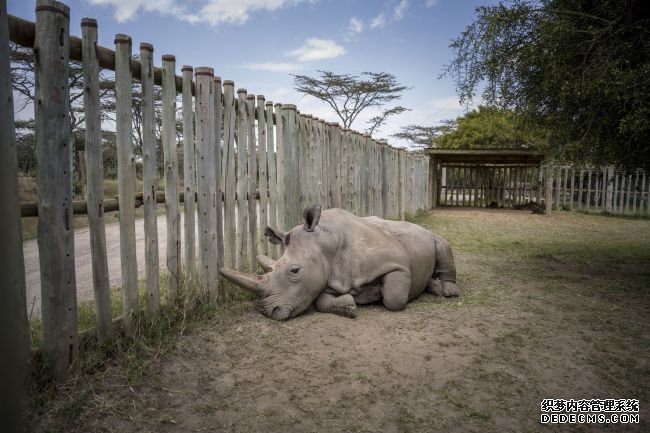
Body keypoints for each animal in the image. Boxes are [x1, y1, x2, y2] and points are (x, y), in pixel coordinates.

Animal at [220, 206, 458, 320]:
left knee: (442, 243)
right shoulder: (330, 276)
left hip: (427, 234)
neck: (326, 243)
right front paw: (349, 306)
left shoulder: (396, 263)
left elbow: (394, 299)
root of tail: (417, 225)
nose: (266, 311)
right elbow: (320, 301)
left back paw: (447, 292)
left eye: (295, 270)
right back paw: (433, 287)